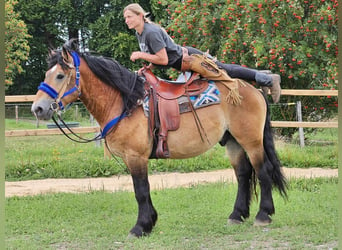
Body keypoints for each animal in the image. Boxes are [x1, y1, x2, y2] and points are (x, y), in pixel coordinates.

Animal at [32, 40, 288, 237]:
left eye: (60, 75)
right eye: (47, 74)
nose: (38, 108)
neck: (126, 102)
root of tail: (253, 91)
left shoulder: (136, 157)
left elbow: (141, 190)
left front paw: (140, 227)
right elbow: (142, 190)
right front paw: (149, 222)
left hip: (251, 141)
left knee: (263, 171)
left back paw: (263, 215)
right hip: (233, 142)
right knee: (243, 174)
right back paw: (236, 215)